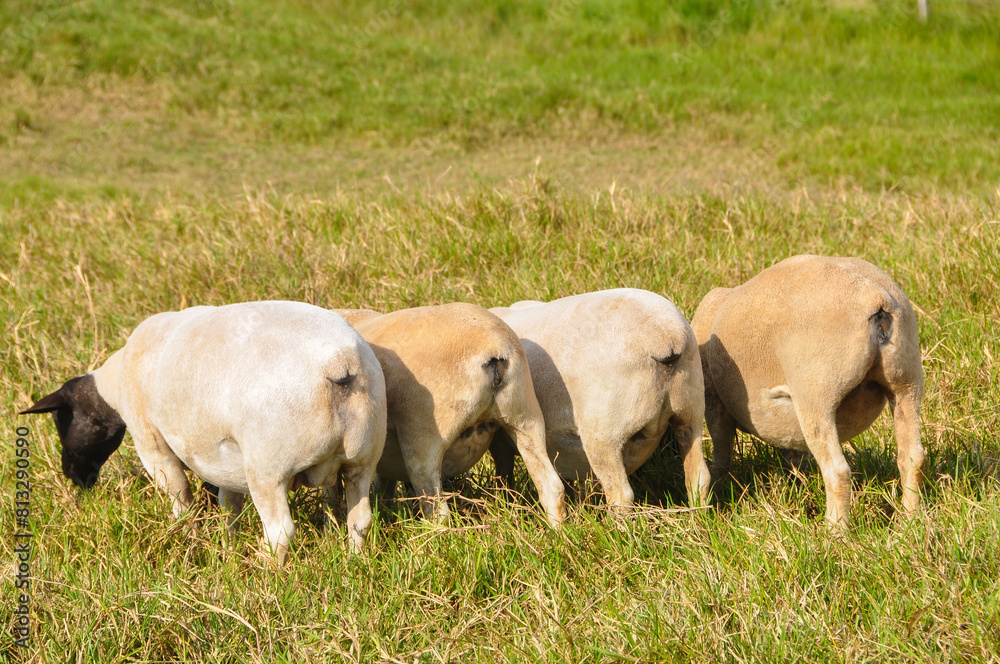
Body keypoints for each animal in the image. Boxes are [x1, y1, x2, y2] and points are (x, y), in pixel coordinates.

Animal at [20, 301, 387, 562]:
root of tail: (340, 365)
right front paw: (228, 547)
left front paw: (188, 541)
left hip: (269, 468)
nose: (72, 476)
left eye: (63, 422)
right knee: (360, 519)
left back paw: (268, 575)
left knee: (280, 532)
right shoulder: (226, 460)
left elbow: (180, 498)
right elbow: (229, 504)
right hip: (364, 458)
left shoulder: (153, 445)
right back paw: (354, 562)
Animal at [334, 303, 567, 525]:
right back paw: (558, 531)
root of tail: (494, 351)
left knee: (437, 507)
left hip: (424, 437)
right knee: (551, 487)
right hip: (525, 417)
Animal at [488, 289, 711, 508]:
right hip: (690, 412)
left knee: (620, 495)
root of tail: (666, 334)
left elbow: (503, 469)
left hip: (604, 433)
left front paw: (504, 500)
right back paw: (698, 514)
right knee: (699, 476)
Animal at [690, 255, 925, 528]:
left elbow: (721, 454)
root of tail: (876, 297)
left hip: (816, 392)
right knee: (912, 457)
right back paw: (909, 522)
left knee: (837, 471)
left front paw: (717, 492)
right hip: (906, 380)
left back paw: (835, 530)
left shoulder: (714, 402)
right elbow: (793, 455)